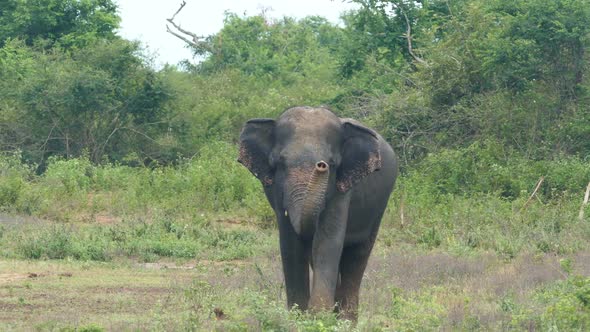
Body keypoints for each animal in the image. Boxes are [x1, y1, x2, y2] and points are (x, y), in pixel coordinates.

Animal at [238, 106, 400, 320]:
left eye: (331, 163)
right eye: (280, 162)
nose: (321, 165)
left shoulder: (343, 188)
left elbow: (327, 241)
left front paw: (318, 317)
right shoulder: (275, 192)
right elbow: (290, 244)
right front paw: (299, 316)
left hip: (379, 206)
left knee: (357, 256)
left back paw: (346, 320)